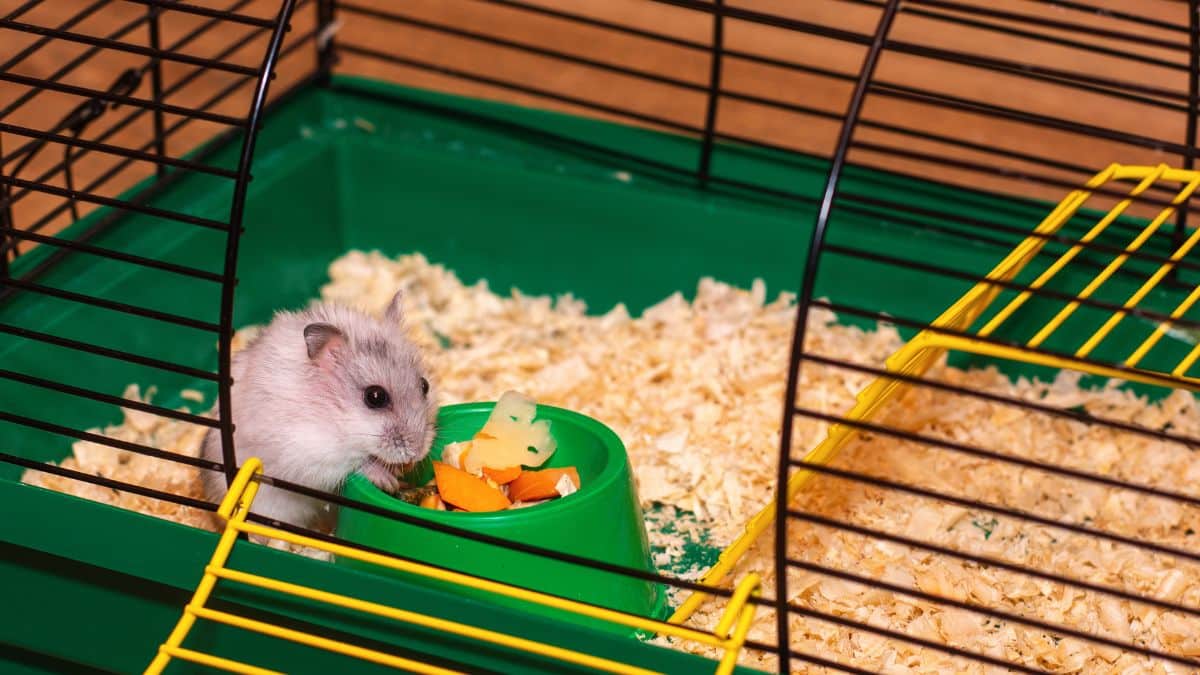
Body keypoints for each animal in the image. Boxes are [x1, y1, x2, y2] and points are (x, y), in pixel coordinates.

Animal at [200, 290, 438, 532]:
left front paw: (404, 470)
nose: (417, 453)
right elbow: (357, 464)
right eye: (375, 397)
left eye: (425, 385)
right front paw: (389, 480)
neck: (333, 414)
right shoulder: (310, 453)